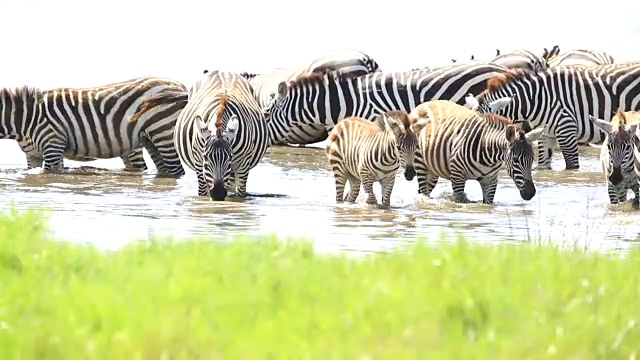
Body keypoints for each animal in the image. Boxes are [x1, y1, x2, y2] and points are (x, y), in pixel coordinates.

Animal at [0, 76, 189, 176]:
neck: (26, 119)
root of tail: (179, 85)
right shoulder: (33, 155)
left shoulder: (53, 144)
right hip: (150, 139)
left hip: (163, 132)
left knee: (176, 170)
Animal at [172, 70, 268, 200]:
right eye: (205, 157)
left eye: (230, 157)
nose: (218, 194)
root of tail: (224, 71)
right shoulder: (199, 164)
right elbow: (202, 193)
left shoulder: (243, 166)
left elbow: (240, 195)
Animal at [408, 100, 544, 204]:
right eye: (515, 160)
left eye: (532, 160)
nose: (530, 193)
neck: (489, 155)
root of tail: (424, 104)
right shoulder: (457, 176)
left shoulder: (490, 181)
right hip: (420, 163)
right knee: (423, 192)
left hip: (432, 170)